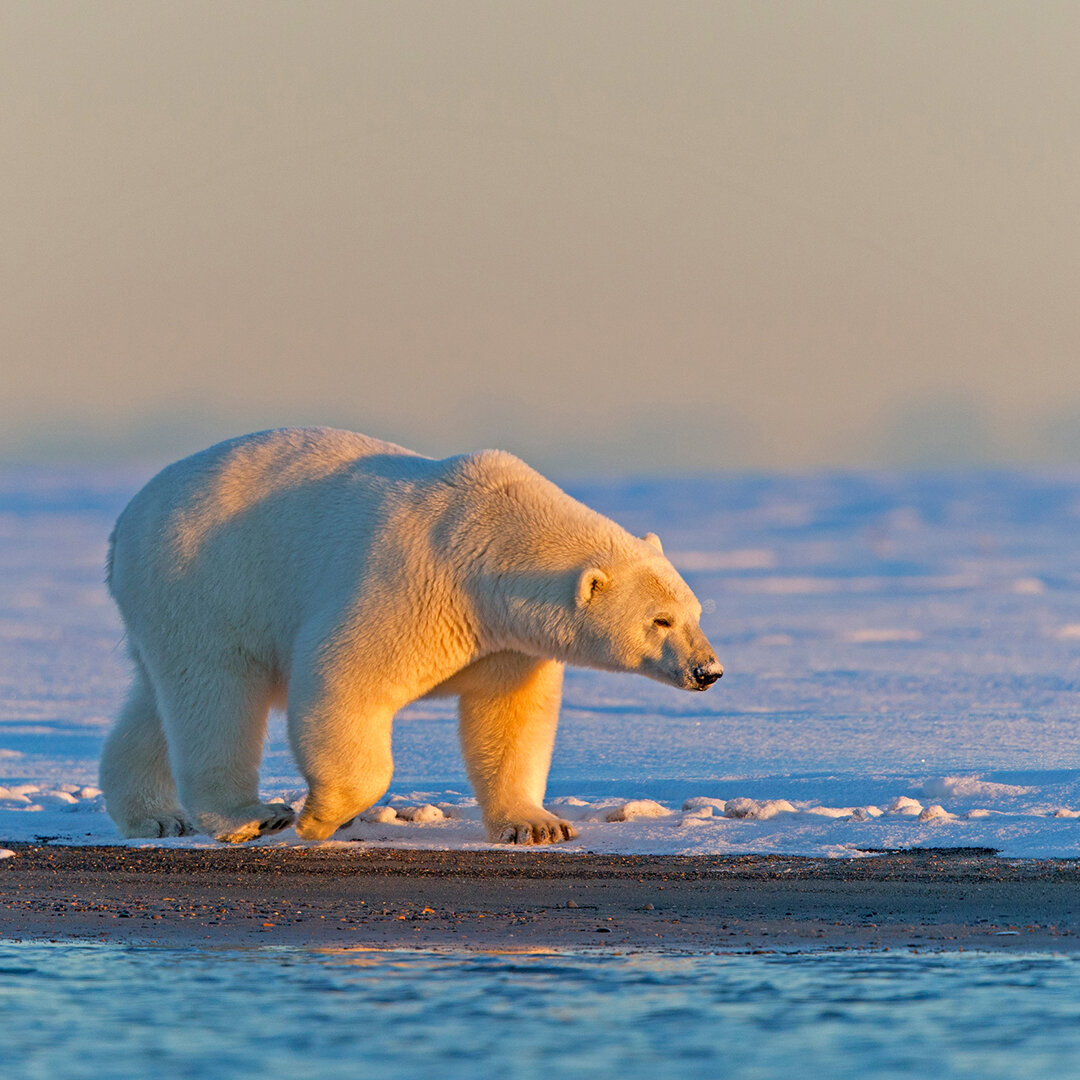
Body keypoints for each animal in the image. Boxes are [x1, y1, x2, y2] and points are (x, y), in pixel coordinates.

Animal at [101, 427, 721, 842]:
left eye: (696, 611)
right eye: (660, 619)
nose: (708, 671)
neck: (489, 544)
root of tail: (127, 519)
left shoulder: (508, 639)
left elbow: (510, 717)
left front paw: (538, 825)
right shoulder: (413, 583)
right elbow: (342, 677)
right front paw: (319, 816)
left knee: (157, 702)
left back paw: (155, 815)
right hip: (205, 580)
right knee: (216, 692)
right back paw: (250, 817)